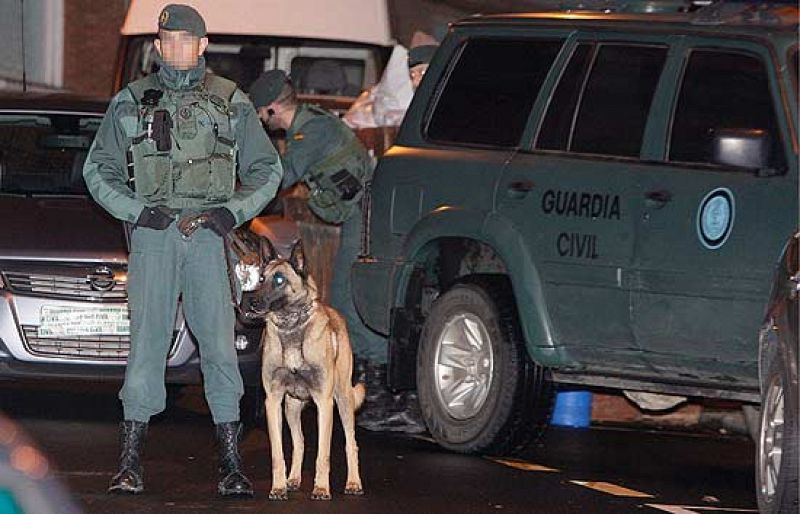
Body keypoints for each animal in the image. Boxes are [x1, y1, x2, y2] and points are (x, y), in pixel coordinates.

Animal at [245, 238, 368, 498]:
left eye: (279, 280)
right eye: (261, 278)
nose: (251, 301)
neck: (291, 327)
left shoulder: (324, 403)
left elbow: (323, 453)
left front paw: (321, 488)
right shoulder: (273, 402)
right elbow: (278, 453)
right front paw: (278, 486)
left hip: (343, 401)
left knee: (351, 443)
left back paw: (353, 482)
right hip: (291, 407)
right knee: (299, 442)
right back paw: (293, 479)